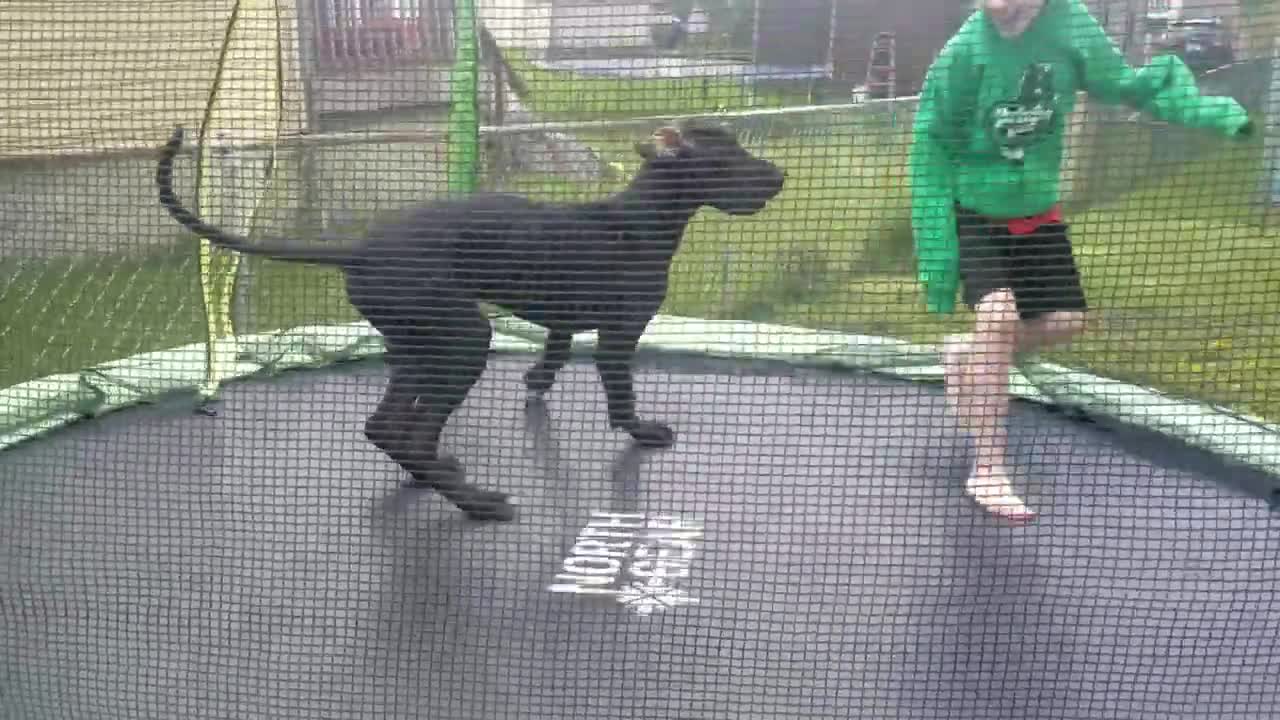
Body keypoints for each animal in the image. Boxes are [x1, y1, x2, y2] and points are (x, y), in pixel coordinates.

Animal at [156, 119, 783, 520]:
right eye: (725, 157)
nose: (778, 178)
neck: (639, 219)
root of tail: (359, 251)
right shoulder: (619, 337)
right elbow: (622, 399)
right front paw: (642, 431)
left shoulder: (561, 320)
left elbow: (551, 357)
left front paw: (536, 383)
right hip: (461, 340)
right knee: (406, 429)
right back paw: (475, 503)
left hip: (418, 347)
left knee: (388, 427)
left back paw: (436, 472)